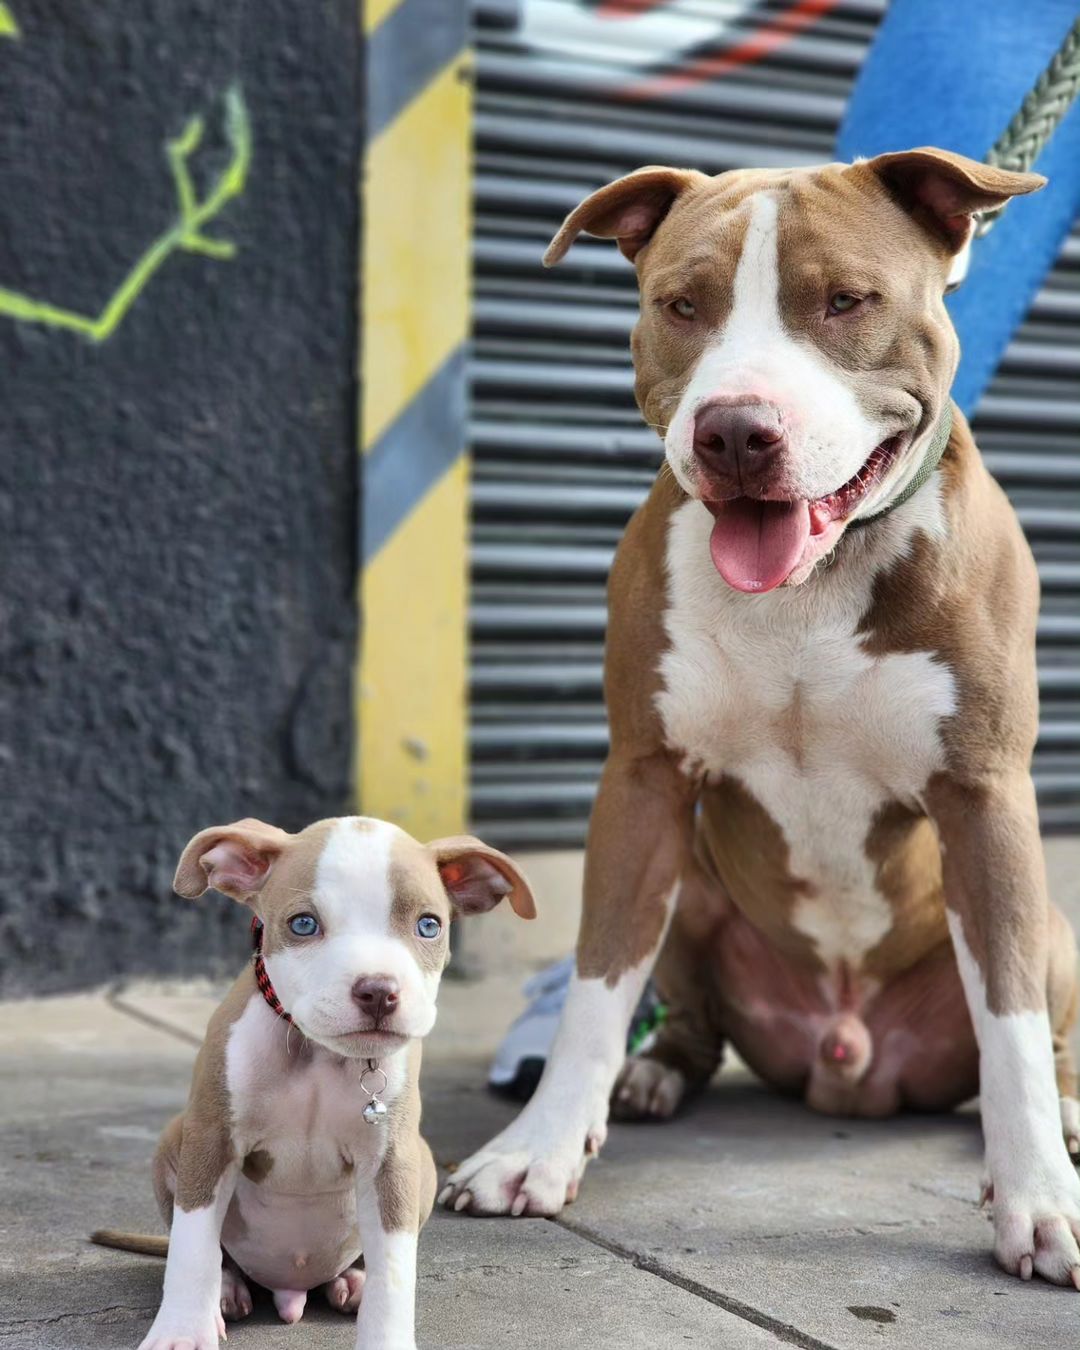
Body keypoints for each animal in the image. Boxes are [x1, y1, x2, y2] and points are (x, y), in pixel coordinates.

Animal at [92, 816, 535, 1349]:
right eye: (303, 924)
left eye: (429, 925)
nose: (378, 991)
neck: (318, 1054)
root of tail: (290, 1291)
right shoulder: (211, 1138)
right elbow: (192, 1243)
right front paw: (181, 1331)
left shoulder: (392, 1161)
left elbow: (394, 1270)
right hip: (174, 1137)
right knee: (215, 1252)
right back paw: (226, 1289)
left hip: (423, 1160)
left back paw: (352, 1282)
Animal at [438, 148, 1080, 1288]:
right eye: (681, 305)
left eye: (846, 302)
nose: (736, 430)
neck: (809, 590)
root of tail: (848, 1059)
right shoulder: (642, 782)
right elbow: (598, 986)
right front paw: (538, 1151)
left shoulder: (985, 798)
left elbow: (1008, 1028)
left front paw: (1039, 1201)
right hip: (691, 891)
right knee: (682, 1012)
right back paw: (653, 1076)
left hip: (1052, 928)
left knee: (1040, 1038)